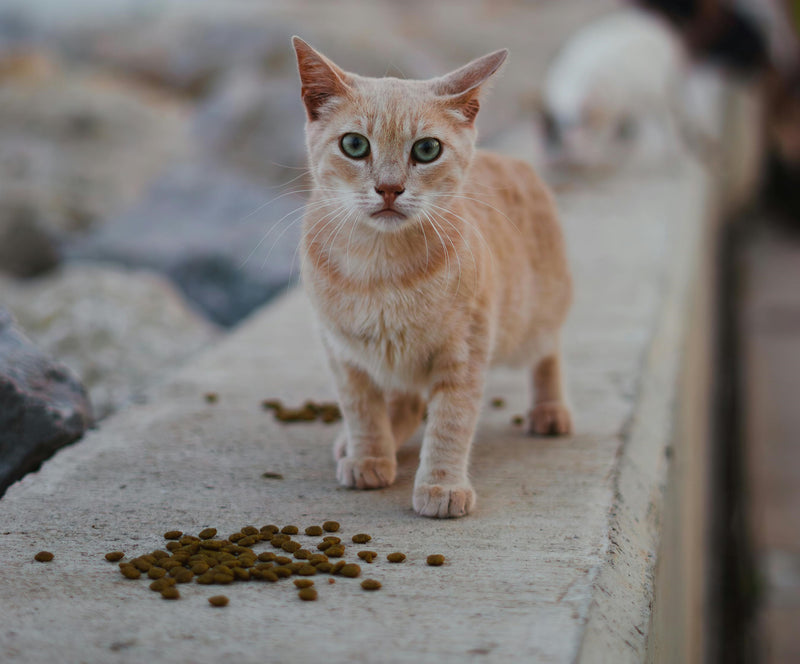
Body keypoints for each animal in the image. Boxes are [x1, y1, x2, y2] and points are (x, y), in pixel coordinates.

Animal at [294, 39, 576, 520]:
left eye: (426, 150)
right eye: (354, 144)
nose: (389, 188)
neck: (381, 270)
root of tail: (515, 161)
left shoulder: (464, 351)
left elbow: (451, 422)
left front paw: (441, 485)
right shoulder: (342, 352)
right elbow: (362, 409)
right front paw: (370, 455)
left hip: (532, 322)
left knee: (549, 352)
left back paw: (550, 408)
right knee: (406, 401)